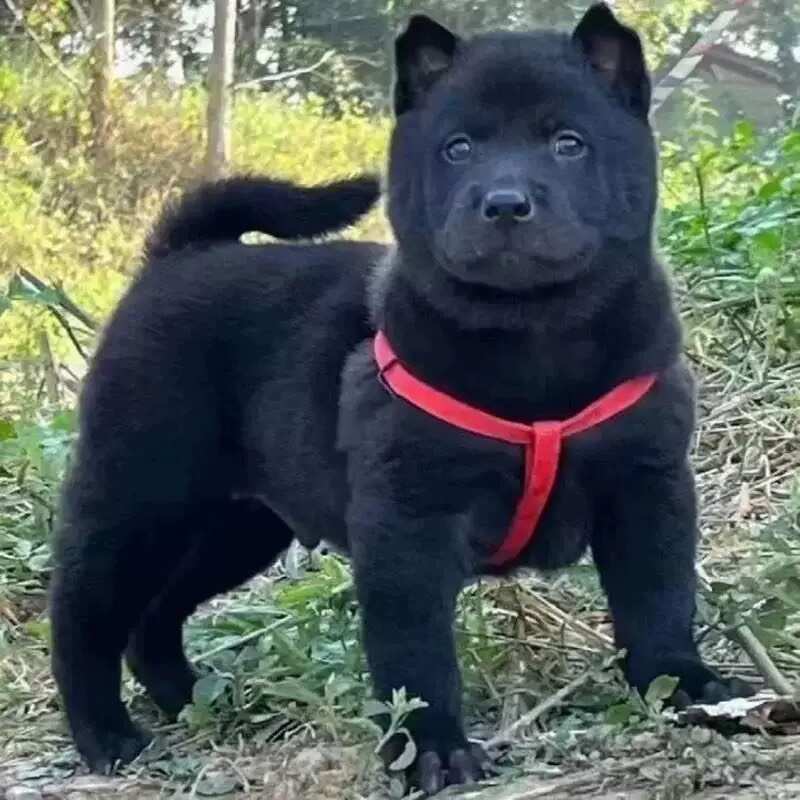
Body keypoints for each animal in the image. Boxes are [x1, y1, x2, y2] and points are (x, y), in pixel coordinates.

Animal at [53, 4, 752, 792]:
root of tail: (179, 255)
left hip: (240, 524)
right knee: (84, 613)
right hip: (138, 497)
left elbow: (658, 601)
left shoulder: (647, 486)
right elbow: (416, 653)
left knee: (155, 618)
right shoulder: (408, 519)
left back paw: (197, 699)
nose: (504, 203)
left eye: (568, 143)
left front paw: (687, 686)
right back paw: (106, 734)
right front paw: (432, 747)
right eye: (458, 148)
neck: (535, 336)